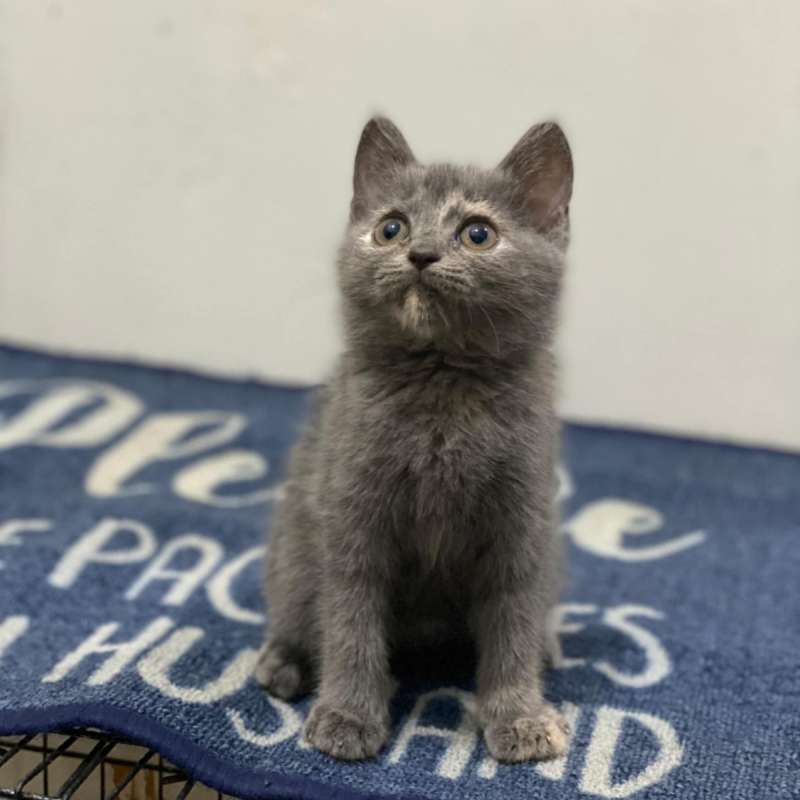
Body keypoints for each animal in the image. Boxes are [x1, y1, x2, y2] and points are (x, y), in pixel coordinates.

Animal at [256, 117, 576, 764]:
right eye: (390, 227)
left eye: (478, 233)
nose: (420, 253)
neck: (442, 386)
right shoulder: (351, 512)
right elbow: (350, 619)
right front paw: (349, 716)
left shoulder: (522, 521)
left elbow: (514, 619)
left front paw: (521, 717)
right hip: (293, 547)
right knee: (295, 605)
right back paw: (282, 661)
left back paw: (549, 645)